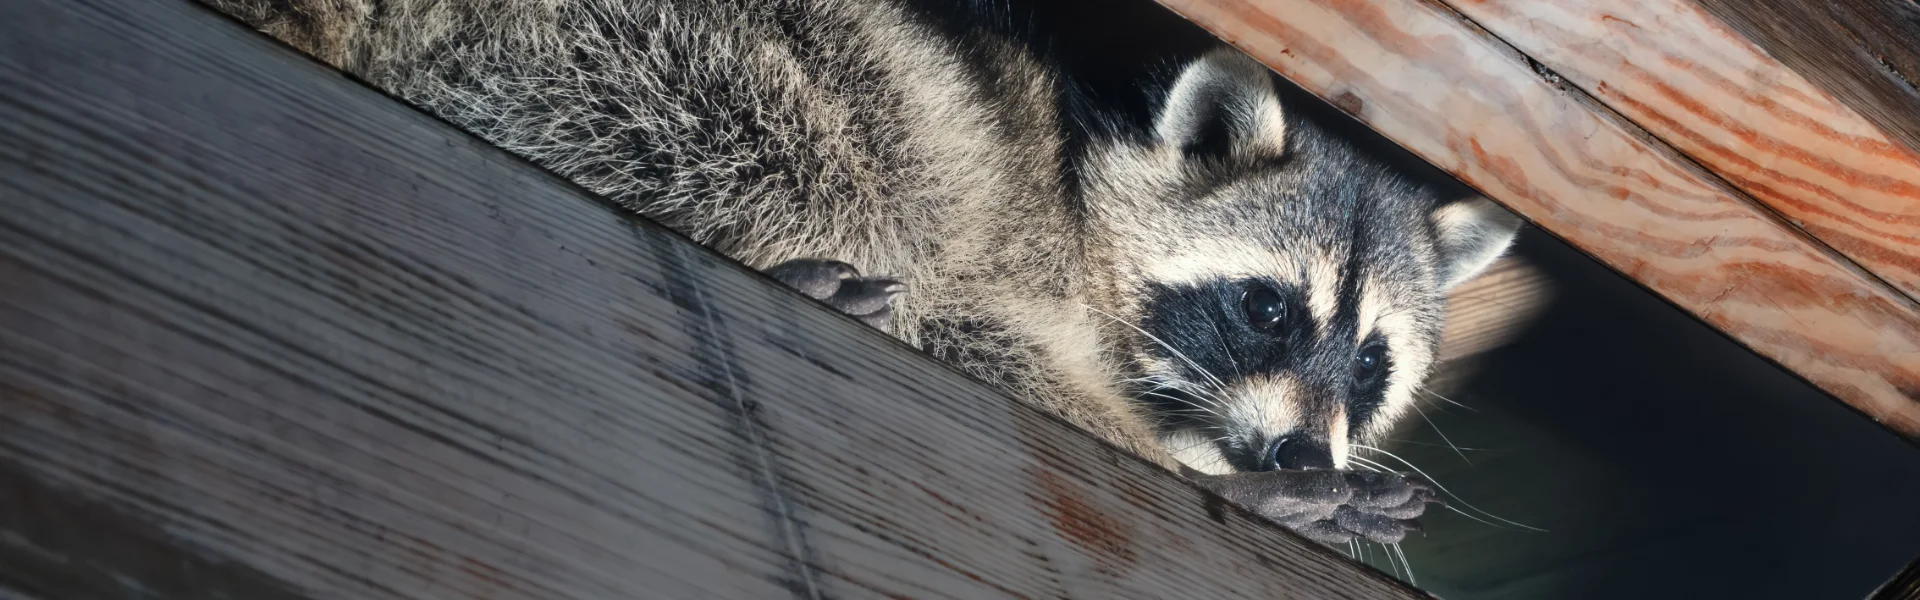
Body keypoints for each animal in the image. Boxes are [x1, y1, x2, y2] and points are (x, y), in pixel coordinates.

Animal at [207, 0, 1519, 545]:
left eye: (1369, 363)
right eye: (1264, 307)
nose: (1300, 453)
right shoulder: (1012, 252)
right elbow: (975, 326)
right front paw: (1202, 471)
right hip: (655, 58)